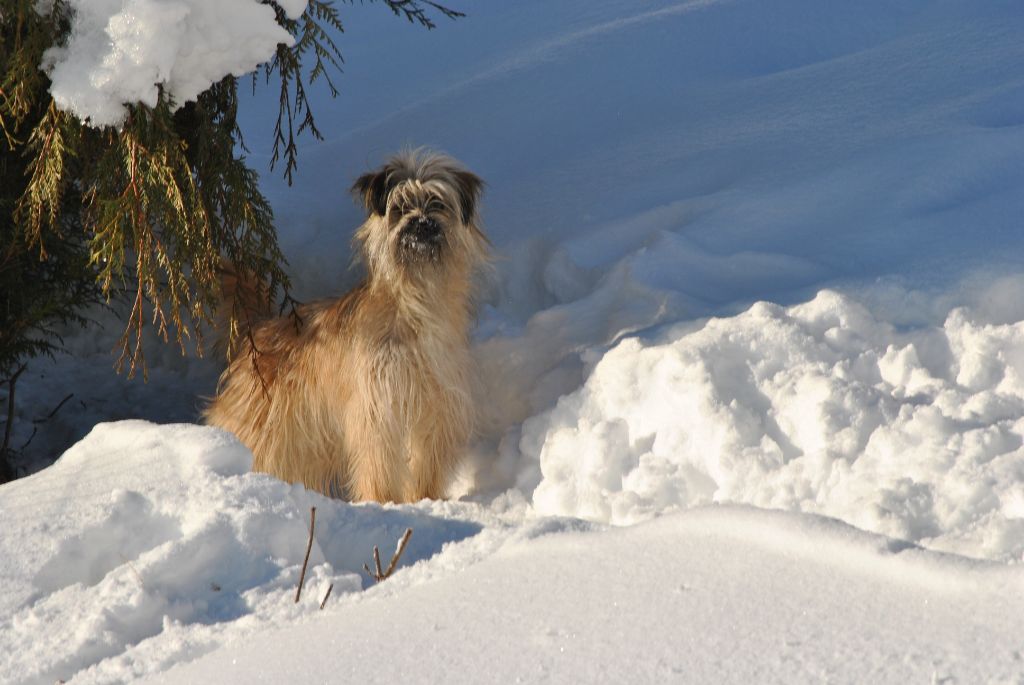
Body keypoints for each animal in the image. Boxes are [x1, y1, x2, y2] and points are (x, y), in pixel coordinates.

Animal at [203, 150, 487, 501]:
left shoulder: (436, 404)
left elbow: (427, 460)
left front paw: (425, 499)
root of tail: (262, 330)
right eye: (400, 207)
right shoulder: (377, 407)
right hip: (261, 426)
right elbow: (378, 462)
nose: (421, 224)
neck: (416, 302)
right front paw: (383, 501)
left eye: (437, 204)